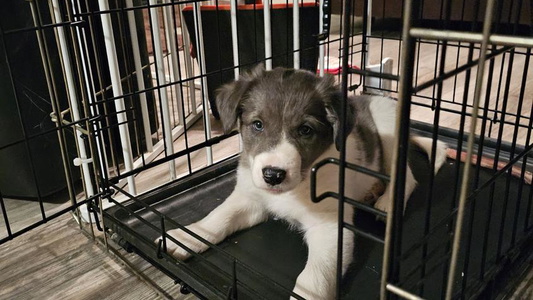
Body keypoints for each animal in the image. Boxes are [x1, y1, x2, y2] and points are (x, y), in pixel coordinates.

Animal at [157, 67, 444, 298]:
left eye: (305, 130)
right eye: (257, 125)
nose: (273, 175)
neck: (296, 188)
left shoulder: (329, 227)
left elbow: (313, 278)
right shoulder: (251, 198)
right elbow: (217, 218)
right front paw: (184, 237)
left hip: (388, 131)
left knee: (408, 177)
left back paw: (385, 201)